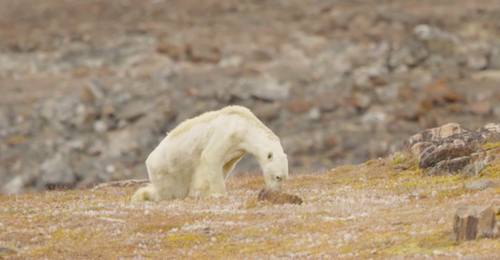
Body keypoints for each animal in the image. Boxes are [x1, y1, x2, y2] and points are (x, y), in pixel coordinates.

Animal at [132, 104, 290, 202]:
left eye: (284, 177)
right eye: (278, 176)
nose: (276, 193)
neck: (244, 125)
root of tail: (149, 161)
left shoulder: (236, 150)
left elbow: (223, 166)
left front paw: (202, 190)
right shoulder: (226, 134)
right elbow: (210, 157)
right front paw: (214, 193)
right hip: (168, 173)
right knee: (168, 191)